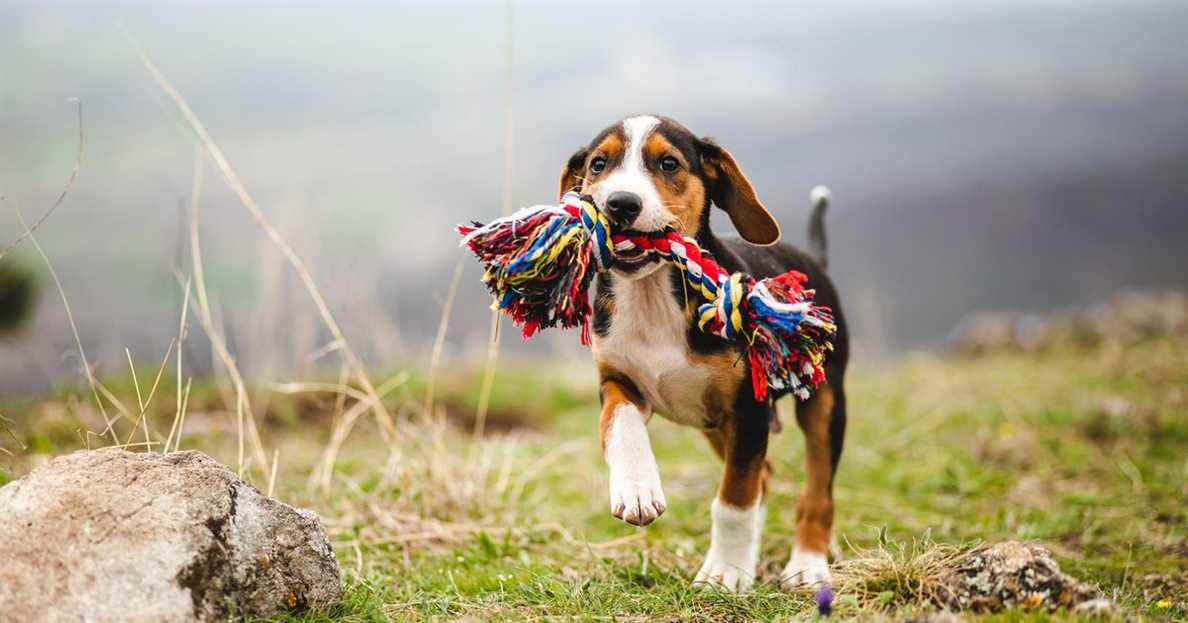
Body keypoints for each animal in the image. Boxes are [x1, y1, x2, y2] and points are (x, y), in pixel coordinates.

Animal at [560, 115, 850, 589]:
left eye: (669, 163)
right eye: (599, 164)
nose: (621, 204)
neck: (653, 294)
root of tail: (813, 261)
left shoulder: (748, 408)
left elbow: (734, 498)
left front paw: (724, 573)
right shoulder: (619, 381)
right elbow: (620, 426)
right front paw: (637, 488)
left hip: (824, 402)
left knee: (816, 490)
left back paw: (807, 565)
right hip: (713, 423)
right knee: (766, 476)